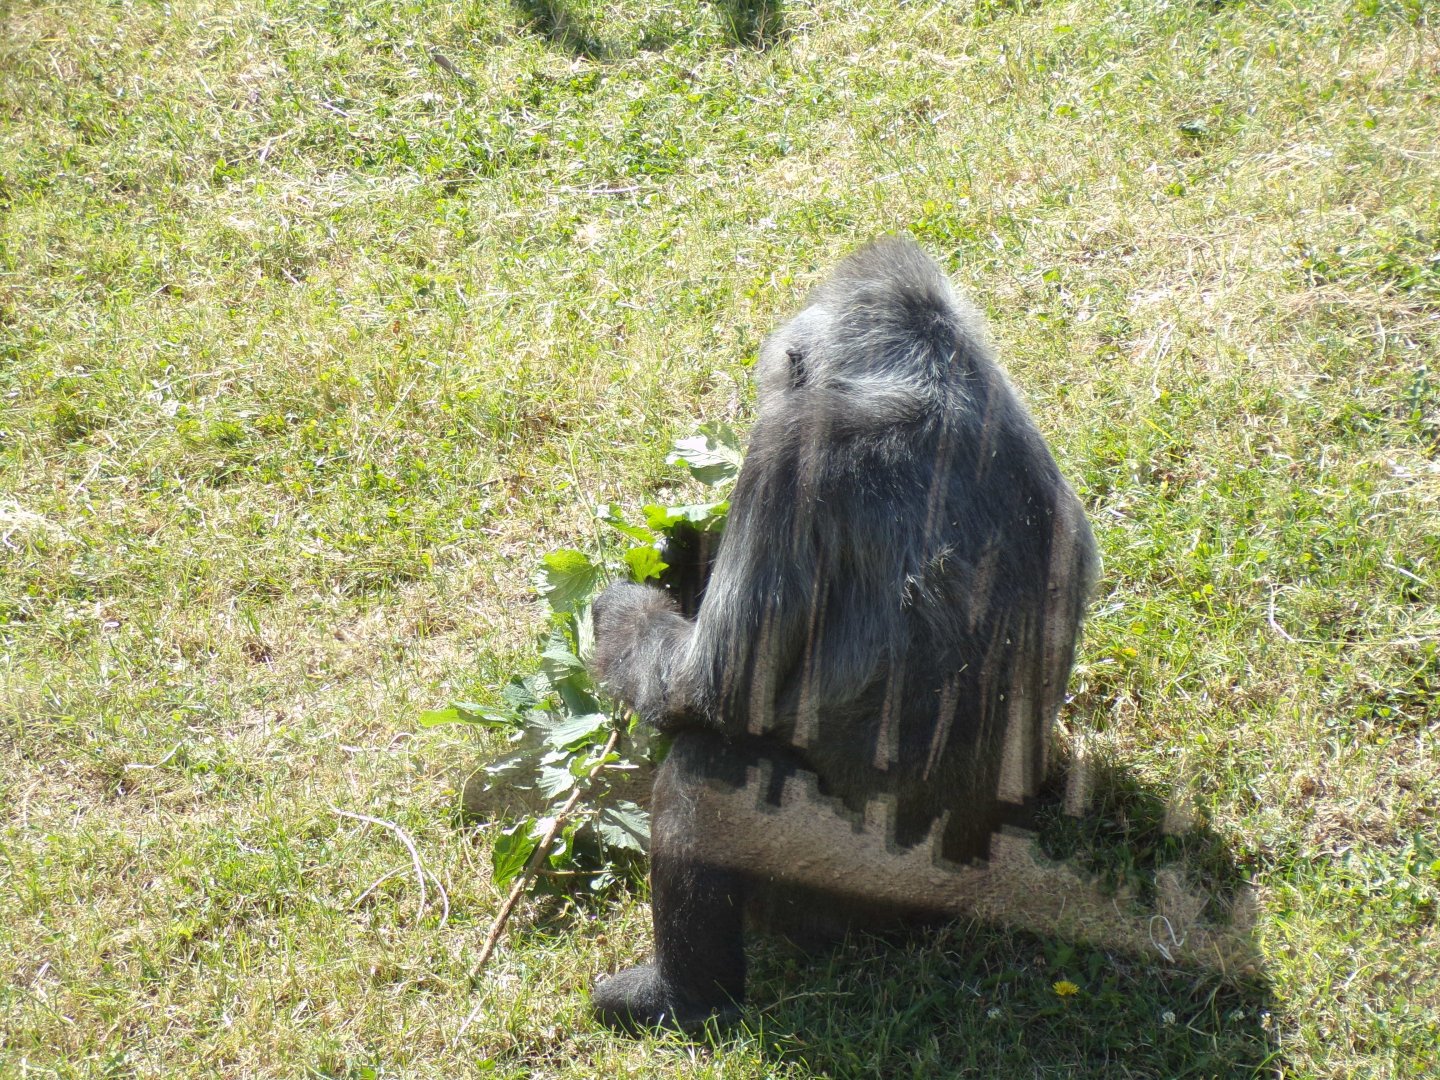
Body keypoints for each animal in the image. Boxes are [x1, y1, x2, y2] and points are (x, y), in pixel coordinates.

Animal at [587, 237, 1099, 1031]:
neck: (929, 381)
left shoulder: (789, 452)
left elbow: (711, 687)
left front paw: (623, 608)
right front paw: (678, 546)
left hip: (823, 905)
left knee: (707, 767)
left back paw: (681, 994)